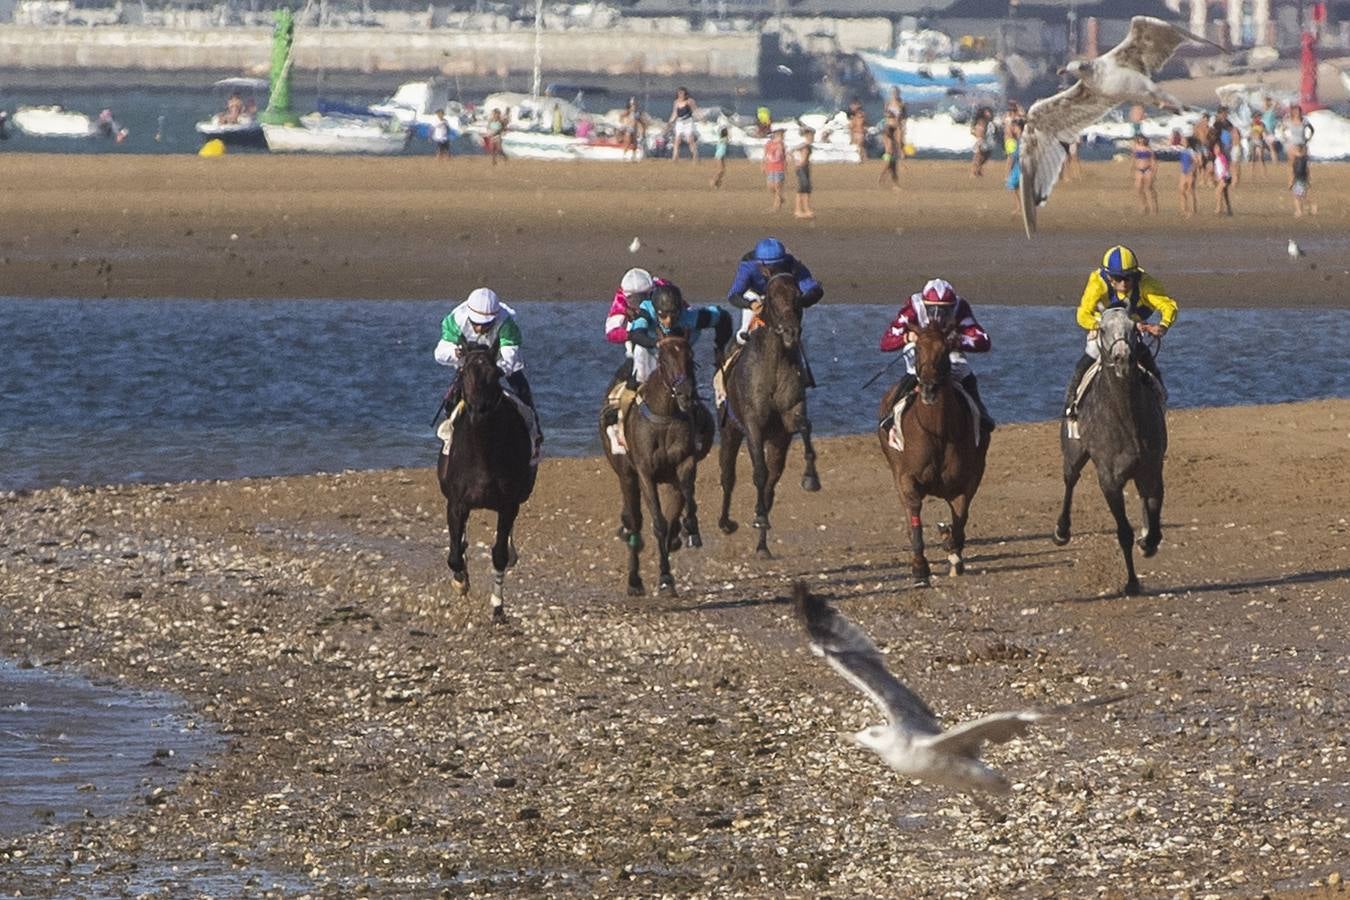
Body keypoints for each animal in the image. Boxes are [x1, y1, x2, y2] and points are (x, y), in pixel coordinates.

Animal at [434, 337, 534, 620]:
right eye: (463, 373)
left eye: (495, 373)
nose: (479, 409)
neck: (483, 453)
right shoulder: (457, 504)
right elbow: (455, 556)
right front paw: (460, 581)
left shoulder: (508, 505)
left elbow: (499, 555)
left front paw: (497, 605)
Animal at [596, 334, 712, 593]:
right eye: (663, 359)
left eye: (690, 356)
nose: (686, 394)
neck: (664, 417)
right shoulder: (644, 473)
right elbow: (658, 523)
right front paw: (666, 576)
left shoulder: (684, 463)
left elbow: (685, 498)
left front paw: (689, 529)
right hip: (626, 475)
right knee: (634, 521)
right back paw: (634, 580)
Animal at [718, 271, 820, 558]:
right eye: (772, 298)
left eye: (798, 296)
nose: (790, 332)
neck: (773, 366)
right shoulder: (752, 424)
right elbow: (759, 473)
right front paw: (758, 516)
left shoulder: (790, 413)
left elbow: (805, 427)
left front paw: (811, 478)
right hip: (729, 430)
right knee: (728, 475)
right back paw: (727, 522)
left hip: (777, 443)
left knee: (773, 482)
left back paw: (762, 544)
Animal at [874, 319, 993, 588]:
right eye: (917, 350)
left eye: (944, 351)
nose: (928, 389)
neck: (938, 432)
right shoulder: (906, 478)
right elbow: (914, 517)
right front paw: (920, 568)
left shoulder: (968, 480)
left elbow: (960, 520)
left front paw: (952, 550)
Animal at [1047, 310, 1166, 599]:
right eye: (1102, 329)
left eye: (1134, 327)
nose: (1122, 357)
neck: (1126, 418)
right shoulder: (1110, 480)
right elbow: (1123, 532)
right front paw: (1132, 582)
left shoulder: (1151, 469)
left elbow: (1154, 517)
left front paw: (1148, 541)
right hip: (1073, 454)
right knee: (1070, 480)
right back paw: (1061, 531)